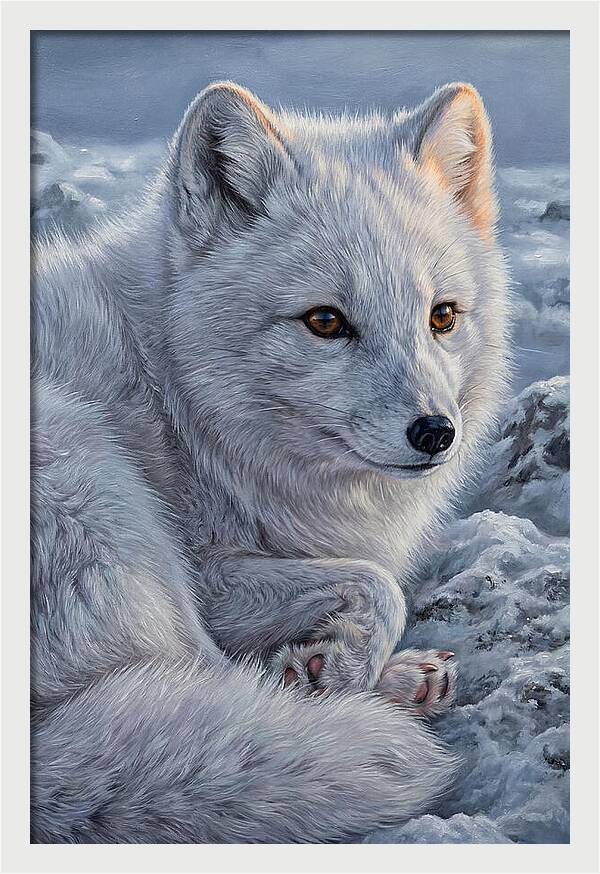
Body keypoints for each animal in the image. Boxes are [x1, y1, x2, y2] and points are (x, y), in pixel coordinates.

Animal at [30, 80, 511, 843]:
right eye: (325, 322)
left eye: (442, 316)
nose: (436, 433)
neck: (175, 394)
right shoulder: (209, 572)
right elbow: (380, 584)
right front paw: (336, 669)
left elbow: (370, 583)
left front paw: (334, 663)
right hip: (97, 487)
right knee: (207, 680)